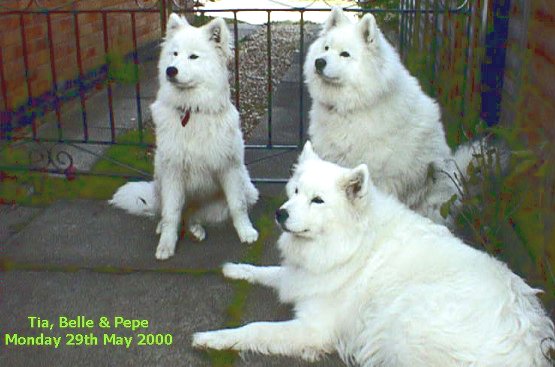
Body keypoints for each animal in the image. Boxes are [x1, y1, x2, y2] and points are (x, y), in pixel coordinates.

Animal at [109, 15, 260, 262]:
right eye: (175, 54)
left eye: (193, 56)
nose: (171, 70)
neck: (192, 110)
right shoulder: (173, 172)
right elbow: (171, 214)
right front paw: (166, 245)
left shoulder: (229, 167)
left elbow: (238, 206)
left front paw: (246, 232)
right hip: (161, 181)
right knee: (173, 214)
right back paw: (167, 228)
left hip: (245, 190)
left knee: (194, 217)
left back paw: (196, 229)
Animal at [192, 142, 555, 366]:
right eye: (294, 191)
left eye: (317, 200)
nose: (280, 214)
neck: (349, 246)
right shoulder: (302, 276)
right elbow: (269, 272)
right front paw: (236, 268)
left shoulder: (314, 328)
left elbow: (255, 329)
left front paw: (212, 338)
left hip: (408, 324)